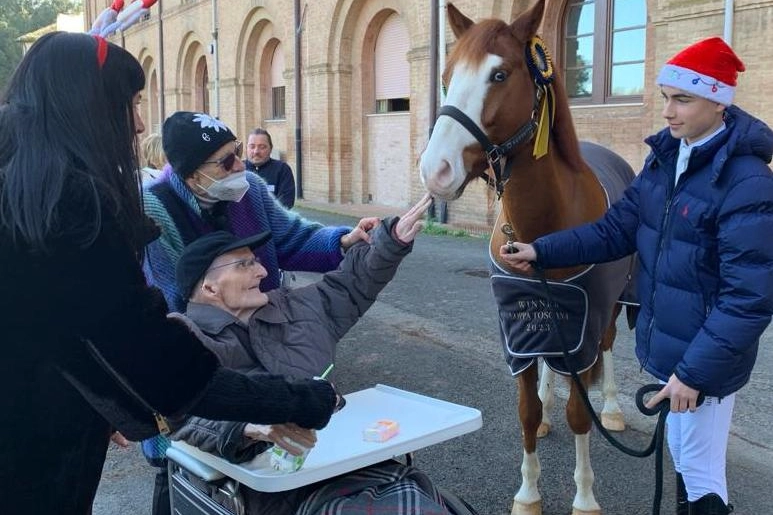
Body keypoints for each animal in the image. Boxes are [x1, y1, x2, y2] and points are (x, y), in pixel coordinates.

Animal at [420, 2, 636, 512]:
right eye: (447, 75)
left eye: (499, 74)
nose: (435, 170)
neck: (546, 230)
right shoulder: (517, 325)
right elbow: (526, 409)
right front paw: (528, 491)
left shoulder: (583, 326)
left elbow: (580, 413)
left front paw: (584, 496)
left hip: (614, 306)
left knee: (609, 348)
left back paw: (613, 407)